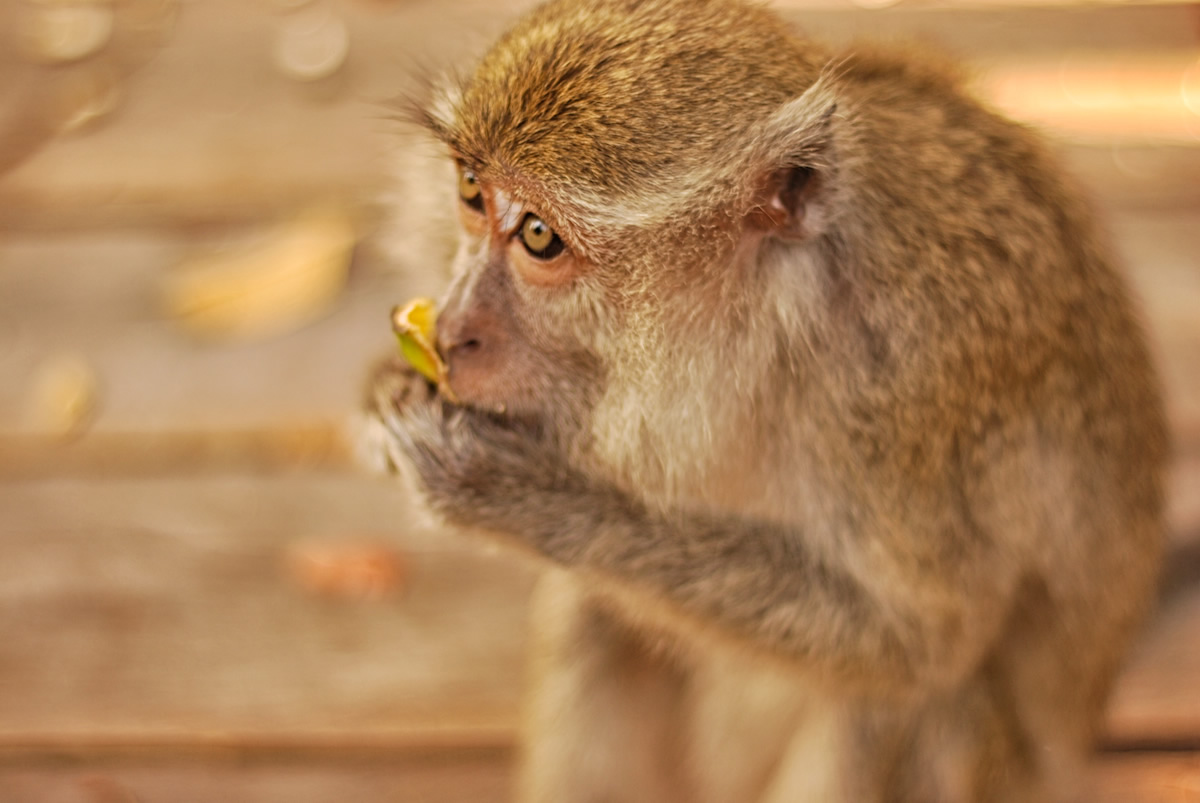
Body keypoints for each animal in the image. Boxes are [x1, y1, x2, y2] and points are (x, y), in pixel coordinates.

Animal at [360, 0, 1166, 796]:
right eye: (471, 194)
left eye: (537, 236)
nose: (454, 328)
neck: (773, 325)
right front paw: (387, 388)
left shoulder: (911, 386)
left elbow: (924, 645)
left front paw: (516, 493)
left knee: (908, 711)